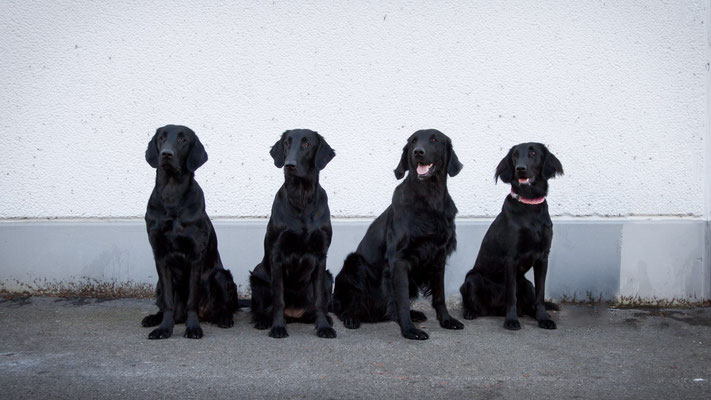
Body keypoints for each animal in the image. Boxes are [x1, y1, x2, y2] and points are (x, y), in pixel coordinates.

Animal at [142, 123, 239, 340]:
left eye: (182, 139)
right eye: (161, 137)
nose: (166, 154)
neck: (172, 195)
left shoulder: (196, 254)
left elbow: (192, 299)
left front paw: (193, 328)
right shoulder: (159, 254)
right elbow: (168, 302)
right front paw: (164, 329)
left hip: (221, 276)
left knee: (222, 305)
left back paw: (224, 319)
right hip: (158, 285)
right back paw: (153, 318)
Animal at [250, 130, 340, 340]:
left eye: (307, 144)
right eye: (286, 143)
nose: (289, 165)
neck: (301, 198)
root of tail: (294, 314)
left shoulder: (321, 254)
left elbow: (320, 301)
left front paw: (323, 327)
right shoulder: (276, 254)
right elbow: (278, 299)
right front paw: (277, 327)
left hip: (328, 277)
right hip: (257, 277)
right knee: (261, 308)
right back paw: (263, 320)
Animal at [336, 130, 468, 340]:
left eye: (434, 139)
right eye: (413, 141)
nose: (418, 152)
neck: (429, 199)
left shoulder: (439, 255)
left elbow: (439, 295)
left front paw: (446, 320)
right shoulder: (399, 260)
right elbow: (402, 299)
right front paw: (409, 330)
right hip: (354, 263)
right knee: (342, 307)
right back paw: (351, 318)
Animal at [458, 142, 564, 330]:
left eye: (533, 152)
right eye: (515, 155)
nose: (520, 168)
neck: (530, 206)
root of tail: (495, 310)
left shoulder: (543, 257)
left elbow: (541, 294)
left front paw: (543, 318)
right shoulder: (511, 258)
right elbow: (511, 295)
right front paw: (511, 320)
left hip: (527, 285)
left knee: (530, 303)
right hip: (472, 279)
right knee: (472, 302)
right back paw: (471, 312)